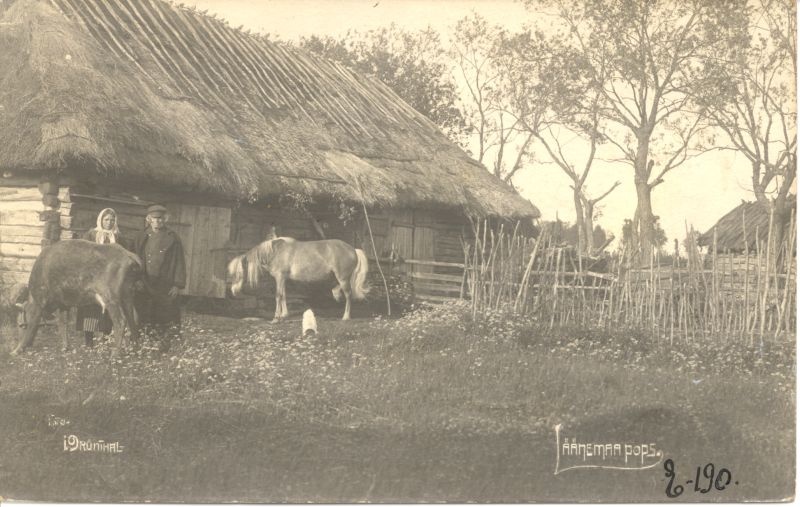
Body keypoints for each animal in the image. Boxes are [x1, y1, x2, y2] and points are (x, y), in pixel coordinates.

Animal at [12, 241, 142, 358]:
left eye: (21, 325)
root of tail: (128, 254)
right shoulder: (64, 304)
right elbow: (62, 324)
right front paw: (65, 347)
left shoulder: (39, 302)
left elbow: (33, 324)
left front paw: (16, 350)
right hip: (127, 296)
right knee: (133, 319)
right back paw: (136, 349)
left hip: (111, 298)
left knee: (120, 321)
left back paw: (115, 354)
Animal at [227, 237, 370, 322]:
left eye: (238, 274)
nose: (233, 291)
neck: (275, 252)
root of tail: (353, 249)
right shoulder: (283, 279)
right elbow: (284, 295)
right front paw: (284, 314)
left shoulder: (279, 277)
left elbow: (278, 296)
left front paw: (276, 317)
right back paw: (336, 294)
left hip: (342, 277)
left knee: (348, 294)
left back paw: (345, 316)